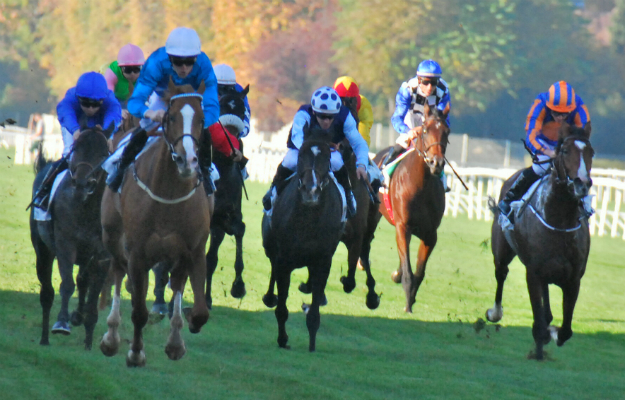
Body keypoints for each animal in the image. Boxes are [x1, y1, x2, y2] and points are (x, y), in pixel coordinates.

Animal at [29, 126, 111, 348]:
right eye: (76, 148)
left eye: (103, 154)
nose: (82, 183)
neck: (87, 208)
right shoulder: (66, 245)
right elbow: (67, 285)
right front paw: (62, 323)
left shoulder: (102, 256)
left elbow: (93, 295)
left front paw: (89, 343)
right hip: (43, 250)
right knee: (47, 293)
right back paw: (44, 339)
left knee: (83, 281)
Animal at [99, 79, 210, 368]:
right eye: (170, 117)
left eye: (202, 119)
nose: (187, 160)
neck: (169, 195)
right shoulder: (137, 252)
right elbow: (139, 310)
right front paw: (135, 353)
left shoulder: (194, 251)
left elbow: (200, 311)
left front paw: (181, 335)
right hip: (113, 237)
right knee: (117, 272)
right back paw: (111, 336)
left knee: (175, 282)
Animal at [260, 126, 344, 352]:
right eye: (300, 155)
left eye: (327, 156)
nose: (310, 191)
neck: (308, 219)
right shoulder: (284, 260)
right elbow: (281, 307)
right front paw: (282, 339)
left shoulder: (323, 261)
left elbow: (314, 312)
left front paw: (312, 345)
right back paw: (270, 297)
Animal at [370, 104, 448, 314]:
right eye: (425, 130)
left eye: (446, 131)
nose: (436, 163)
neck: (421, 184)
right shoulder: (403, 226)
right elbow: (408, 271)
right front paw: (407, 305)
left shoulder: (430, 234)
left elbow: (419, 272)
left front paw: (411, 299)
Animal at [486, 122, 592, 360]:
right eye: (565, 151)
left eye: (591, 152)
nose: (582, 184)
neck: (559, 222)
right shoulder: (533, 273)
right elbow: (539, 320)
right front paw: (540, 345)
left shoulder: (574, 278)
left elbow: (566, 330)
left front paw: (552, 334)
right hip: (501, 250)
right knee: (501, 274)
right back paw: (495, 312)